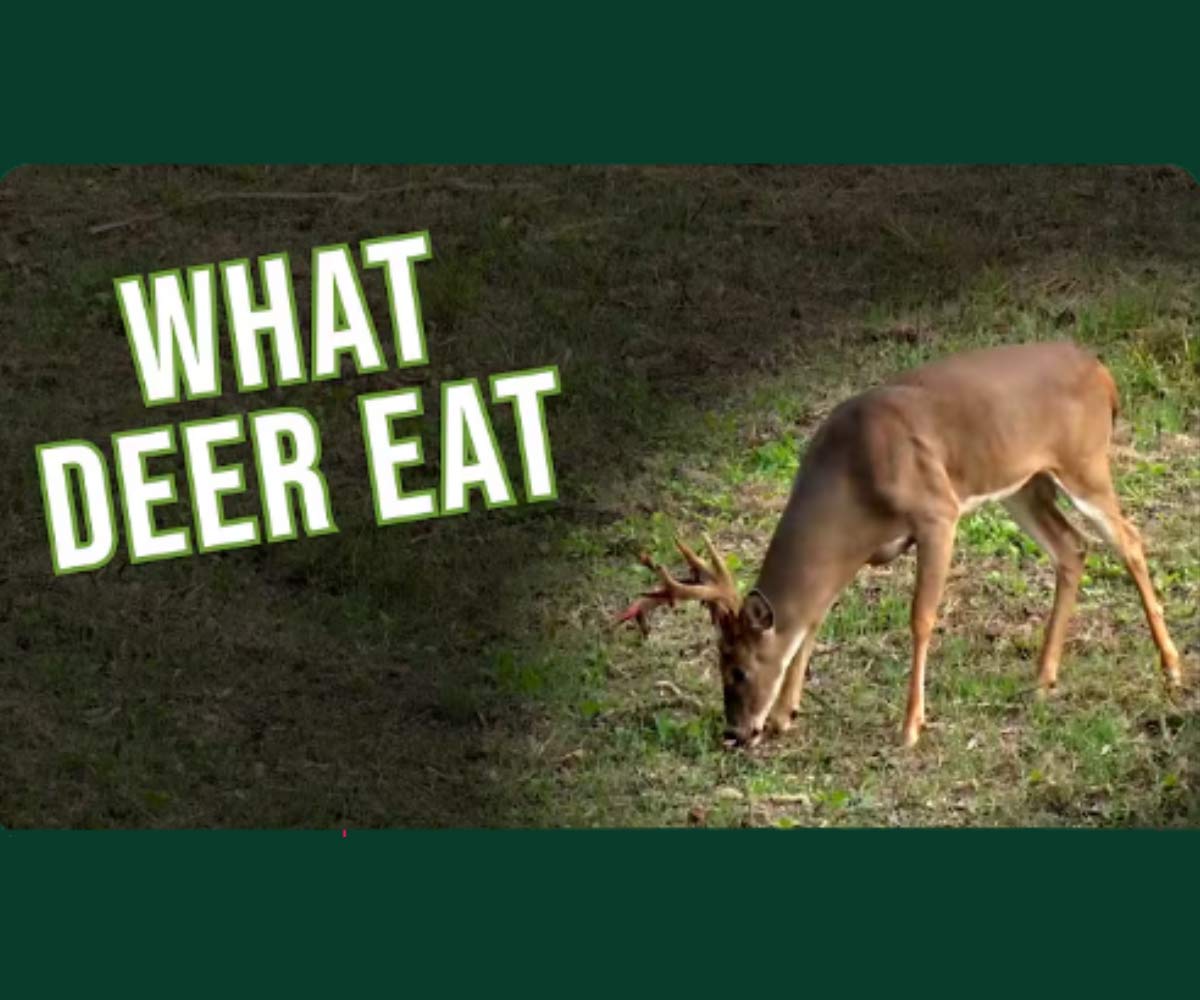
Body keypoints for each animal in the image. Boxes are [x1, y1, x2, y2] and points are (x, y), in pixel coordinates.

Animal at [617, 341, 1182, 749]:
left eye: (737, 668)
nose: (734, 733)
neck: (852, 479)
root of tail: (1104, 373)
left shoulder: (938, 512)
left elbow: (921, 618)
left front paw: (911, 727)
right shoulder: (856, 552)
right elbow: (814, 618)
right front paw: (784, 715)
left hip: (1084, 462)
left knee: (1129, 539)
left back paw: (1172, 668)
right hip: (1024, 485)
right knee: (1072, 547)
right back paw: (1043, 679)